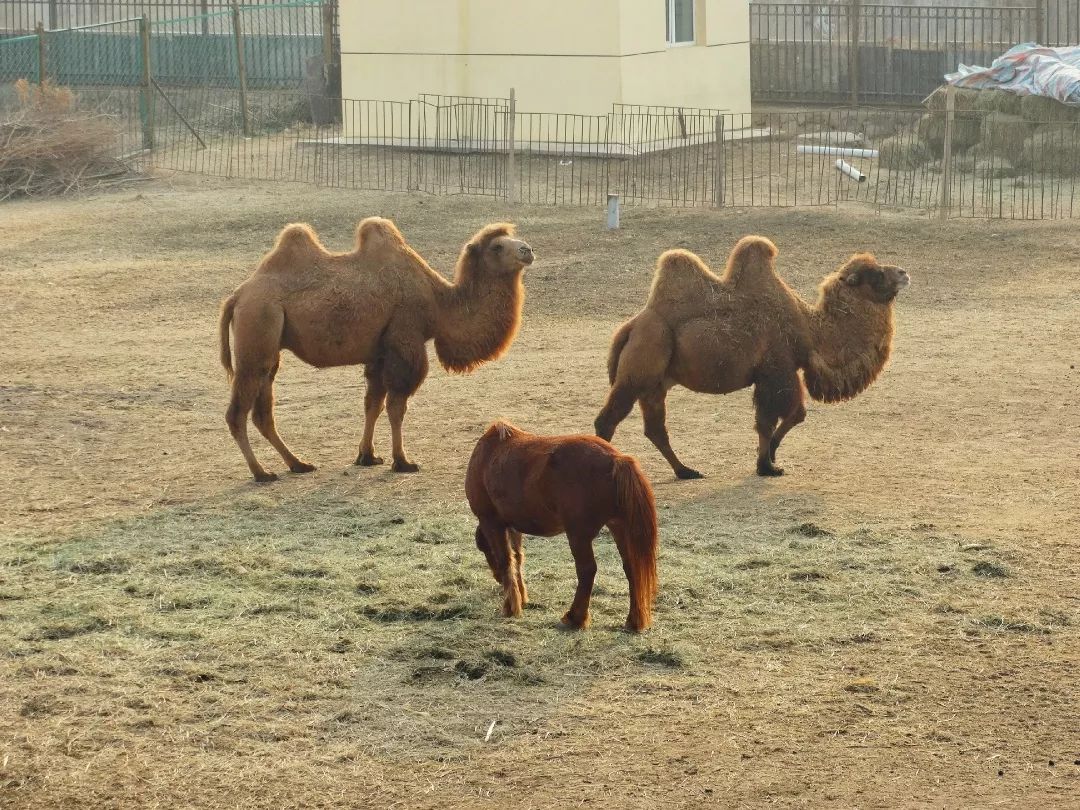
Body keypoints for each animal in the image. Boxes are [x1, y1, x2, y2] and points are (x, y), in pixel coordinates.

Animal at [464, 421, 656, 639]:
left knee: (587, 570)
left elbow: (506, 560)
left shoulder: (492, 522)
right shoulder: (513, 526)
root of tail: (616, 459)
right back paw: (633, 621)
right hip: (619, 528)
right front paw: (521, 597)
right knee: (631, 568)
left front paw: (511, 606)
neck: (488, 454)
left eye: (483, 549)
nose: (497, 580)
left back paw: (575, 618)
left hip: (579, 536)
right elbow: (517, 558)